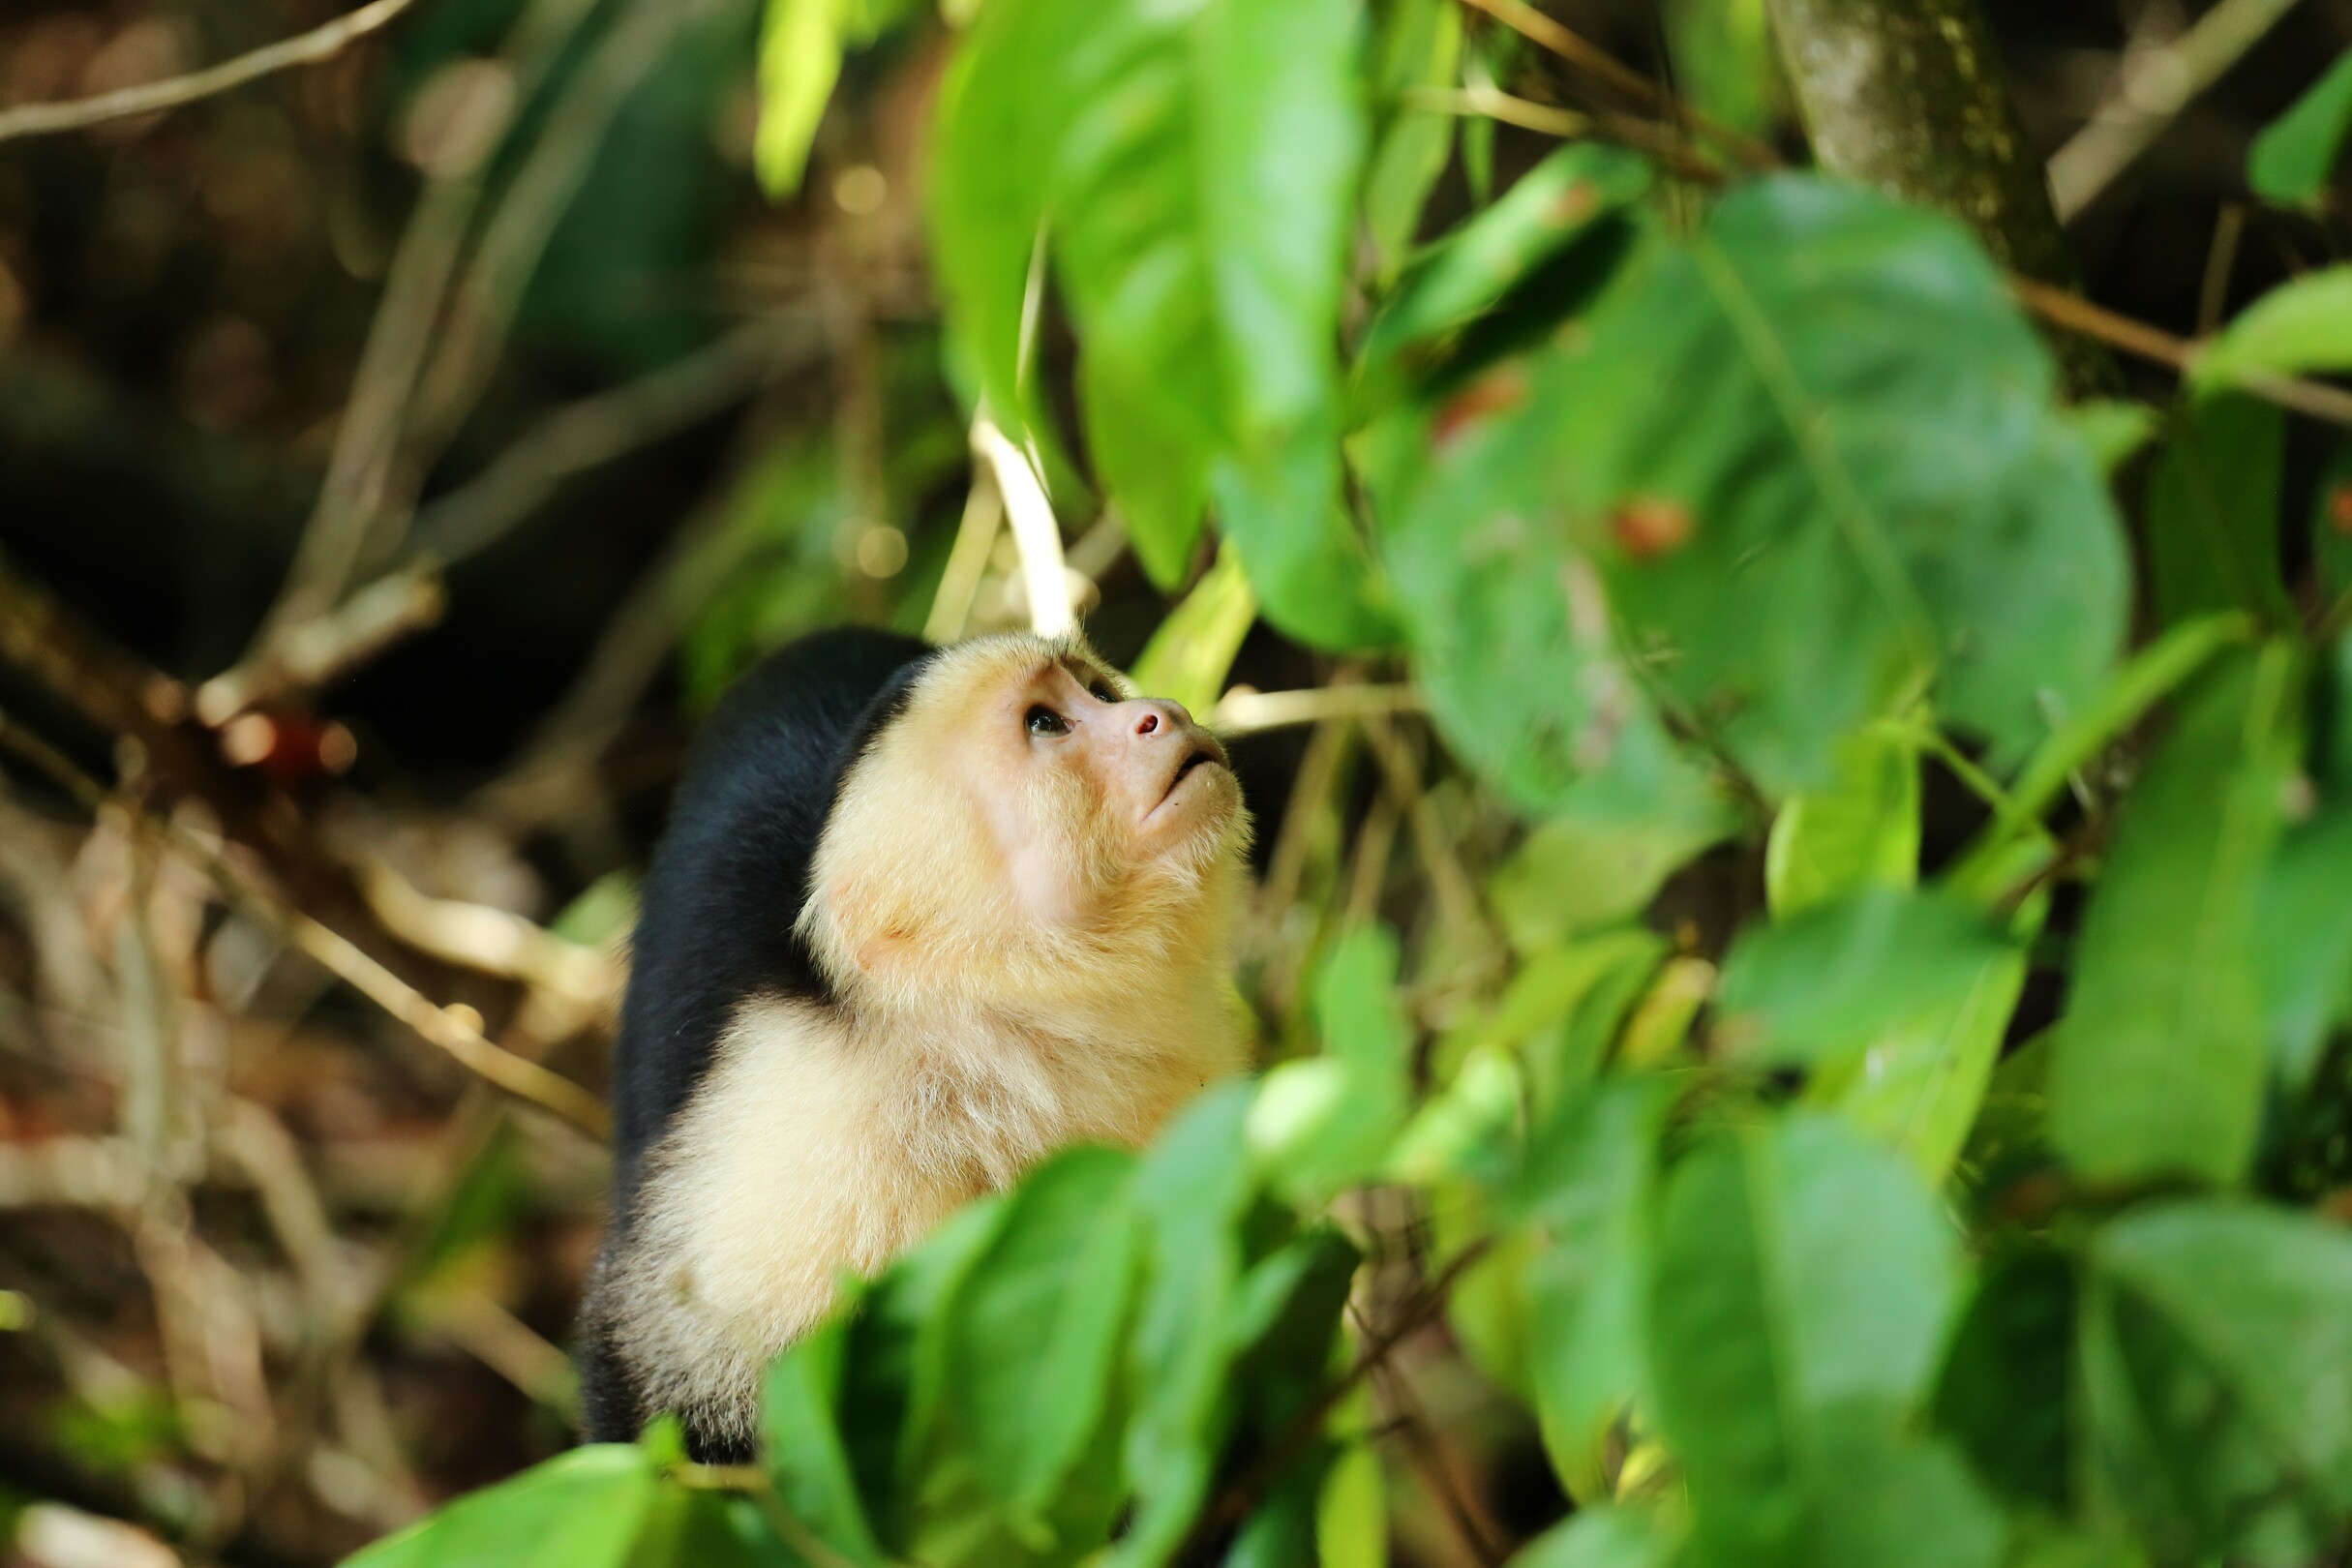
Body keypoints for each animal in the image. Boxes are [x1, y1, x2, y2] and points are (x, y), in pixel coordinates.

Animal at [576, 620, 1251, 1457]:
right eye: (1045, 723)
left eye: (1097, 690)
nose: (1159, 713)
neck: (991, 1038)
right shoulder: (819, 1129)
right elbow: (666, 1379)